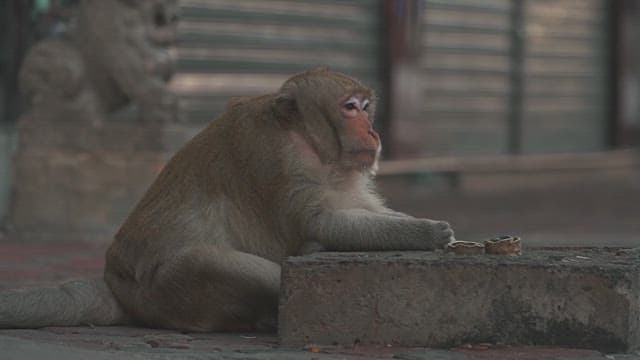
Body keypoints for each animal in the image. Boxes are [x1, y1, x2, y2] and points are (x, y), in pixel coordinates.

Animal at [0, 67, 456, 332]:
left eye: (366, 107)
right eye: (349, 108)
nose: (373, 131)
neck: (306, 138)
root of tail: (116, 282)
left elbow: (360, 211)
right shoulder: (275, 156)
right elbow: (318, 221)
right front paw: (430, 233)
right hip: (167, 293)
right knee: (233, 266)